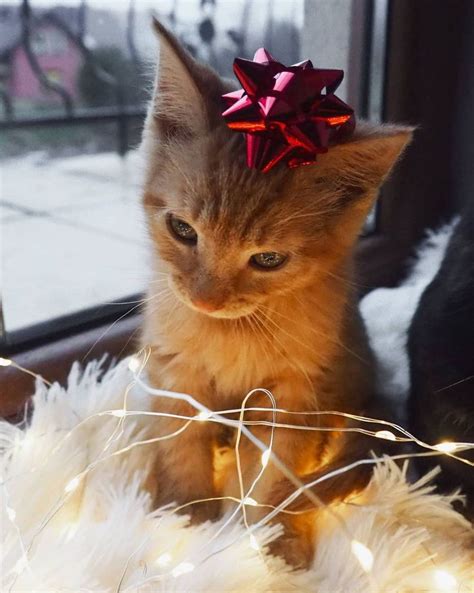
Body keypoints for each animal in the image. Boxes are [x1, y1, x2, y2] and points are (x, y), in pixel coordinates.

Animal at [141, 20, 412, 568]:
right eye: (182, 229)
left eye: (267, 260)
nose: (205, 299)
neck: (230, 332)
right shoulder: (173, 368)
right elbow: (180, 441)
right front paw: (184, 514)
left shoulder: (297, 392)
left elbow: (278, 469)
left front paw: (270, 537)